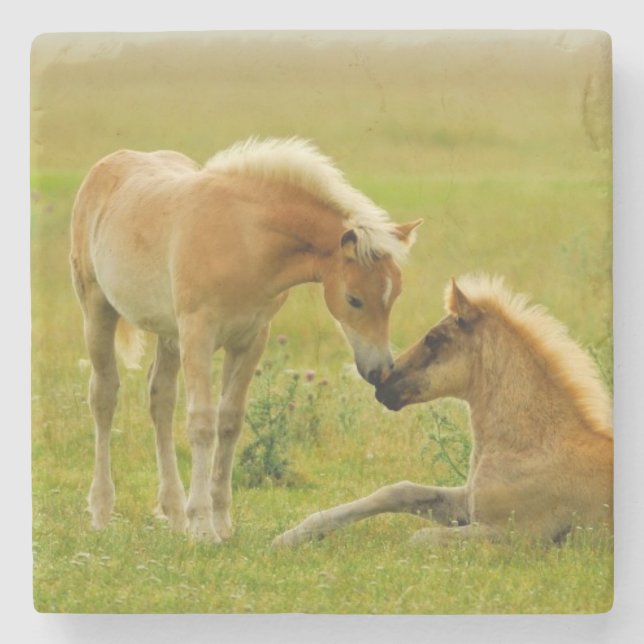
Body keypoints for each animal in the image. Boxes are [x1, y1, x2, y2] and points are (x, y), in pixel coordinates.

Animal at [69, 137, 422, 542]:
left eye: (395, 294)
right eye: (354, 299)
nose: (380, 370)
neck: (245, 239)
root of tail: (107, 165)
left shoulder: (250, 339)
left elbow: (230, 422)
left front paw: (221, 521)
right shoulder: (199, 335)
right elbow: (202, 424)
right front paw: (202, 526)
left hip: (168, 334)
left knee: (160, 400)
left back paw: (173, 513)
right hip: (98, 309)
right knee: (104, 396)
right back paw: (102, 511)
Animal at [273, 274, 613, 547]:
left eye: (433, 339)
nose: (382, 385)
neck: (534, 445)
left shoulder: (516, 534)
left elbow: (419, 538)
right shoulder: (466, 503)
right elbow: (398, 492)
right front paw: (290, 537)